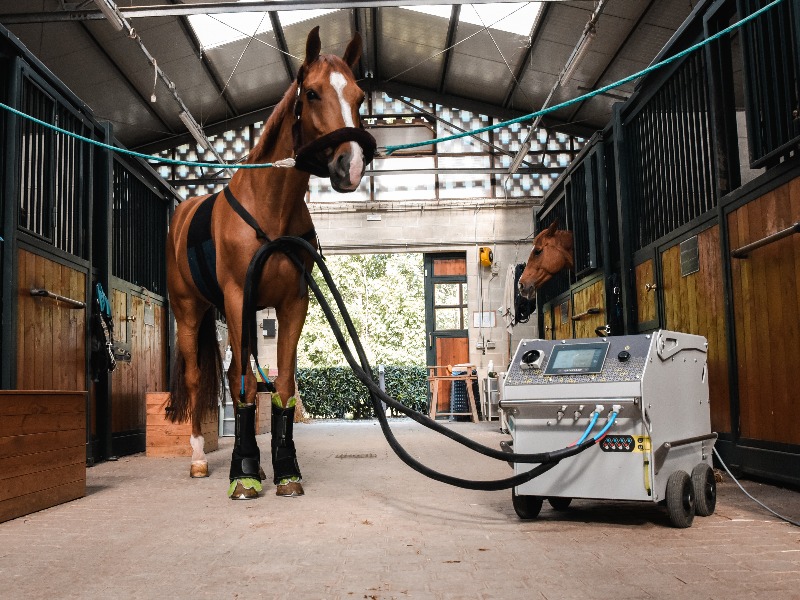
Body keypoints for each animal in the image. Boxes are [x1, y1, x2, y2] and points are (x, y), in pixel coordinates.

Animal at [165, 27, 375, 499]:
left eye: (359, 96)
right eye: (312, 93)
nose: (351, 165)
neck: (270, 209)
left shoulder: (294, 303)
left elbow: (281, 385)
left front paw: (284, 470)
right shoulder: (239, 299)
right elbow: (244, 384)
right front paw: (243, 473)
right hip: (190, 314)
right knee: (200, 377)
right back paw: (200, 459)